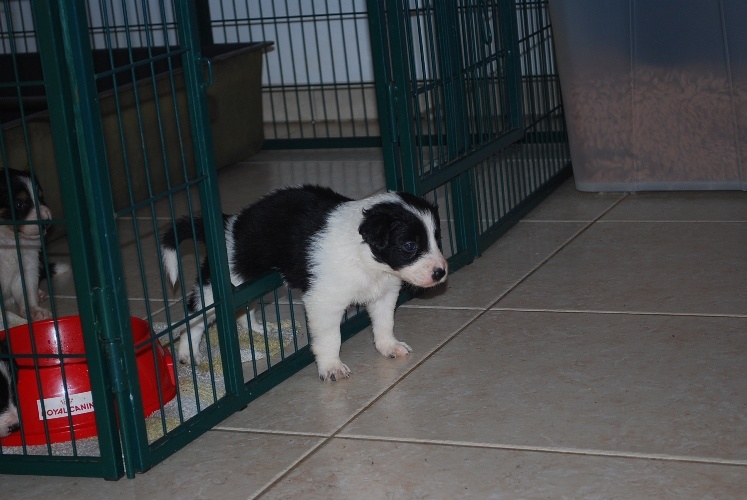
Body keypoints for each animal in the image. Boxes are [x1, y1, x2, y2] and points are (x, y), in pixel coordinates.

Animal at [0, 166, 68, 322]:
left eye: (41, 198)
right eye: (19, 204)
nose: (47, 222)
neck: (10, 238)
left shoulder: (28, 264)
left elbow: (27, 292)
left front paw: (35, 311)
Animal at [160, 186, 448, 380]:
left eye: (437, 239)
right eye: (409, 245)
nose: (441, 272)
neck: (365, 256)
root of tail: (229, 223)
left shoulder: (384, 293)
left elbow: (384, 323)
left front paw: (389, 347)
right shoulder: (324, 301)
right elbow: (330, 337)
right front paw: (331, 367)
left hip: (248, 284)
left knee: (242, 310)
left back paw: (260, 331)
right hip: (222, 283)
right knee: (195, 316)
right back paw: (188, 353)